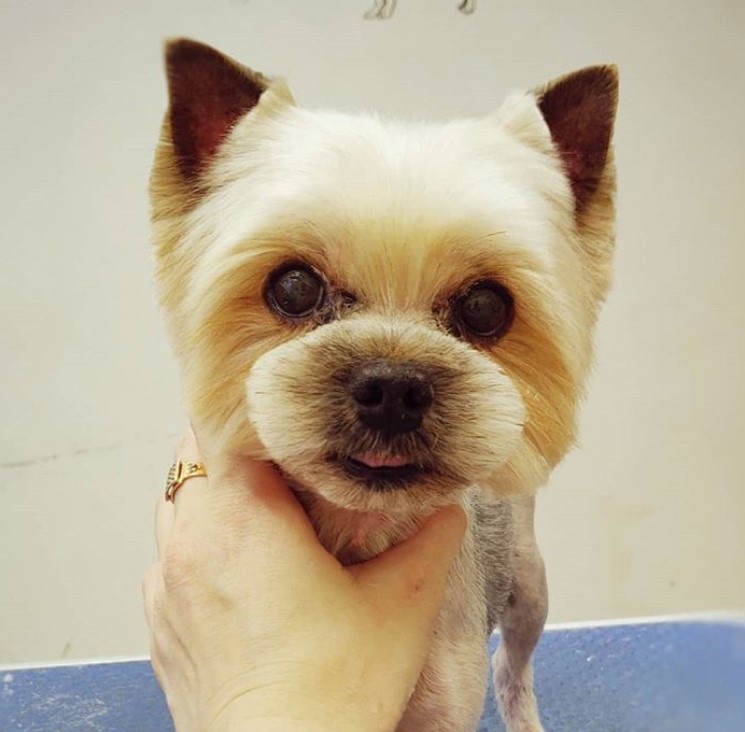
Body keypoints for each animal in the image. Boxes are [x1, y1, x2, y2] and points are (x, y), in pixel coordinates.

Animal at [150, 41, 616, 732]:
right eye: (293, 287)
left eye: (486, 307)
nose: (393, 388)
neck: (358, 529)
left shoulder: (445, 705)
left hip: (528, 583)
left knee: (513, 662)